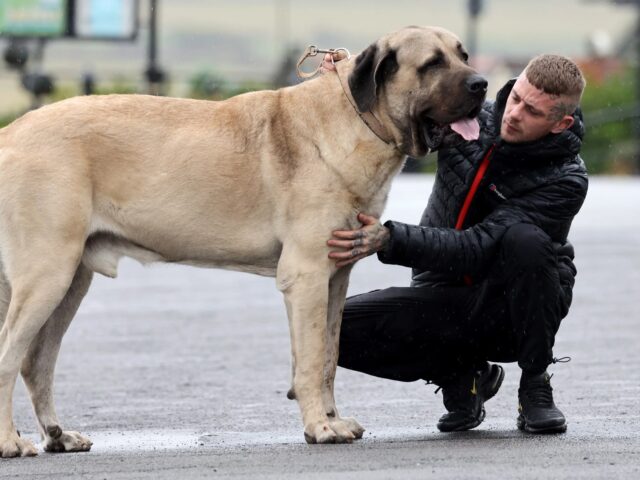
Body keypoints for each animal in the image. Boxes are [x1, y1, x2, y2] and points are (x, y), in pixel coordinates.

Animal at [0, 27, 484, 458]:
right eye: (432, 64)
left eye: (462, 54)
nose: (481, 84)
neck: (358, 120)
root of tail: (11, 132)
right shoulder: (307, 276)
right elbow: (311, 362)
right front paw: (320, 427)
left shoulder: (334, 280)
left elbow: (328, 356)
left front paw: (332, 419)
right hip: (47, 274)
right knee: (10, 355)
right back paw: (11, 442)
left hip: (71, 280)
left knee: (36, 363)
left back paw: (58, 435)